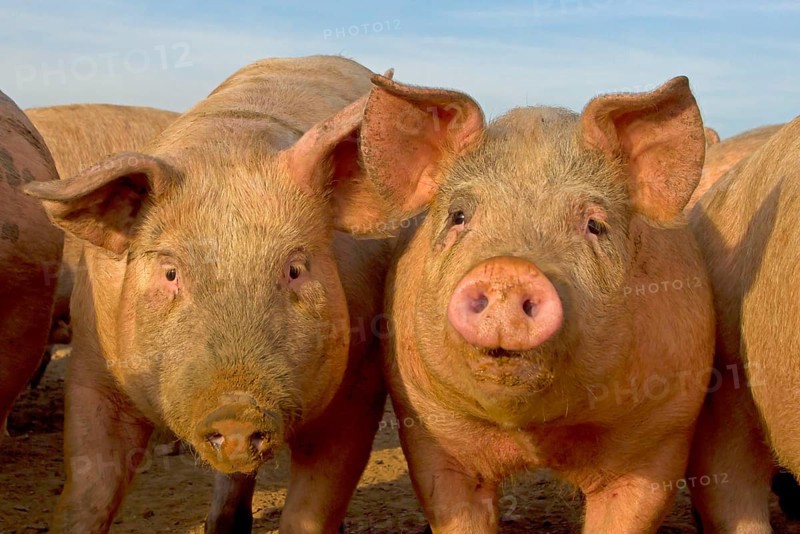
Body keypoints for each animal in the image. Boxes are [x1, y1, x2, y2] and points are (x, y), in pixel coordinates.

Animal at [354, 75, 715, 532]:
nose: (509, 269)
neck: (534, 434)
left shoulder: (664, 431)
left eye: (594, 225)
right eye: (458, 216)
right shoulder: (427, 427)